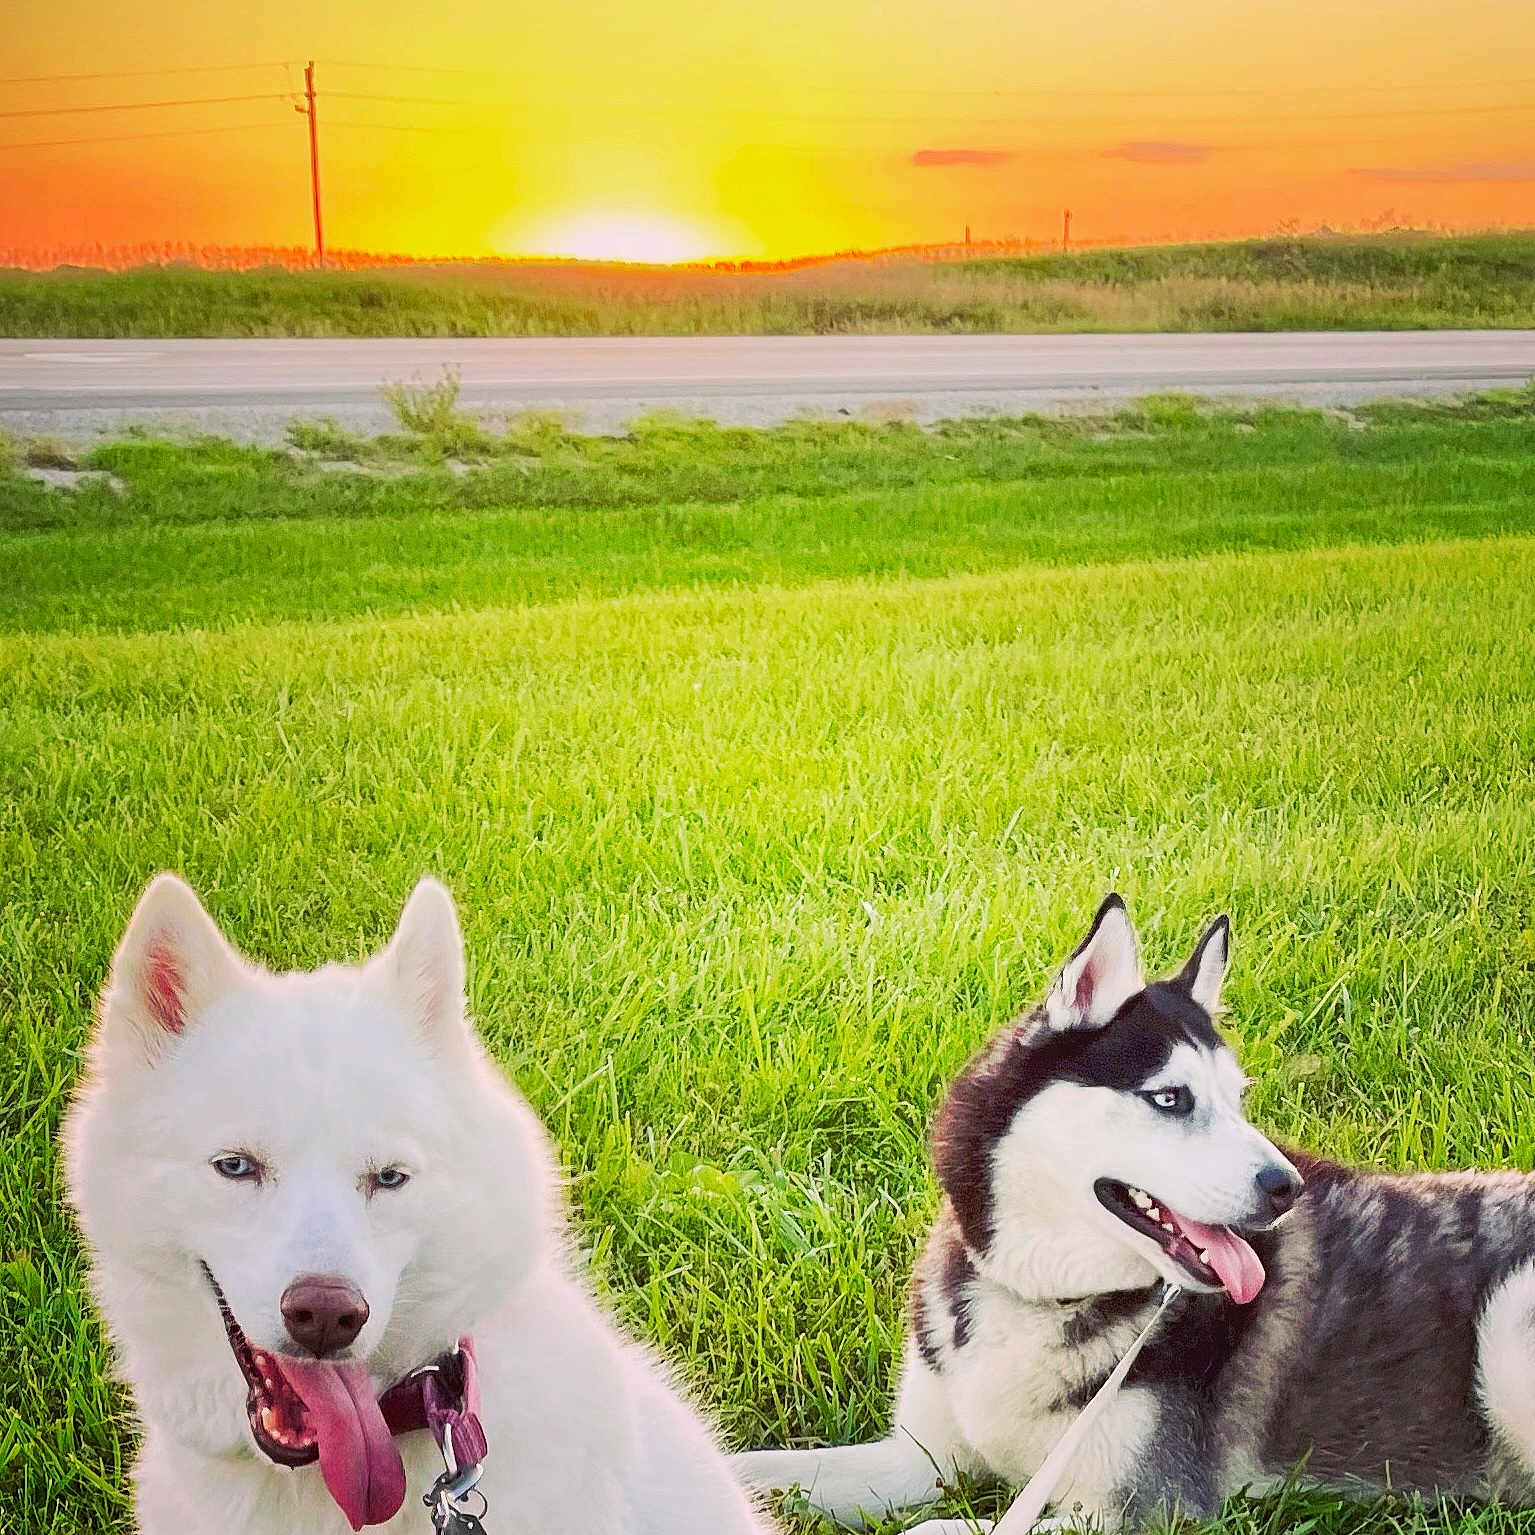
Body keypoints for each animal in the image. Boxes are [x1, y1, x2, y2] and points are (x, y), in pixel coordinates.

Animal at [736, 895, 1535, 1533]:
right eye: (1171, 1097)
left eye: (1237, 1100)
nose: (1285, 1188)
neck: (1048, 1294)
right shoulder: (920, 1455)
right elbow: (751, 1464)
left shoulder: (1141, 1507)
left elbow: (934, 1529)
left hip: (1506, 1327)